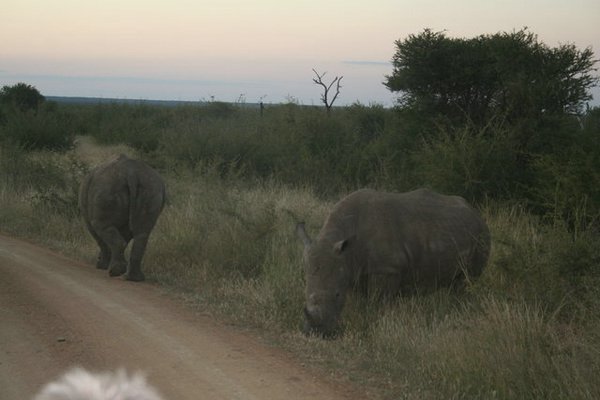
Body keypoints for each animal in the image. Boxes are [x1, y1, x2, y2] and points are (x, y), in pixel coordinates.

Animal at [79, 153, 166, 282]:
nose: (98, 260)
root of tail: (131, 173)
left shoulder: (88, 219)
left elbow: (100, 240)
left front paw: (102, 265)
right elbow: (124, 236)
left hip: (107, 188)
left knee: (101, 226)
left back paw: (115, 272)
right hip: (152, 187)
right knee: (142, 233)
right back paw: (134, 278)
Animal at [294, 189, 488, 336]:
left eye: (337, 295)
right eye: (305, 292)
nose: (316, 333)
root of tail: (476, 212)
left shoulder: (387, 269)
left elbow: (377, 303)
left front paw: (374, 325)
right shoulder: (352, 269)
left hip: (481, 236)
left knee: (467, 281)